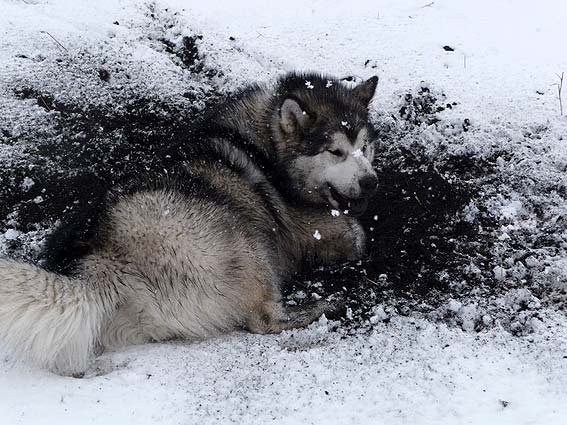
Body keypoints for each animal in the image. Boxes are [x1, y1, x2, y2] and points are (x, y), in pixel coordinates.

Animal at [1, 73, 382, 374]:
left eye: (365, 146)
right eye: (335, 152)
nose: (370, 182)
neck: (266, 144)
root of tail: (103, 260)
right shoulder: (300, 225)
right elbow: (356, 233)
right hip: (239, 238)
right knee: (264, 319)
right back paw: (326, 305)